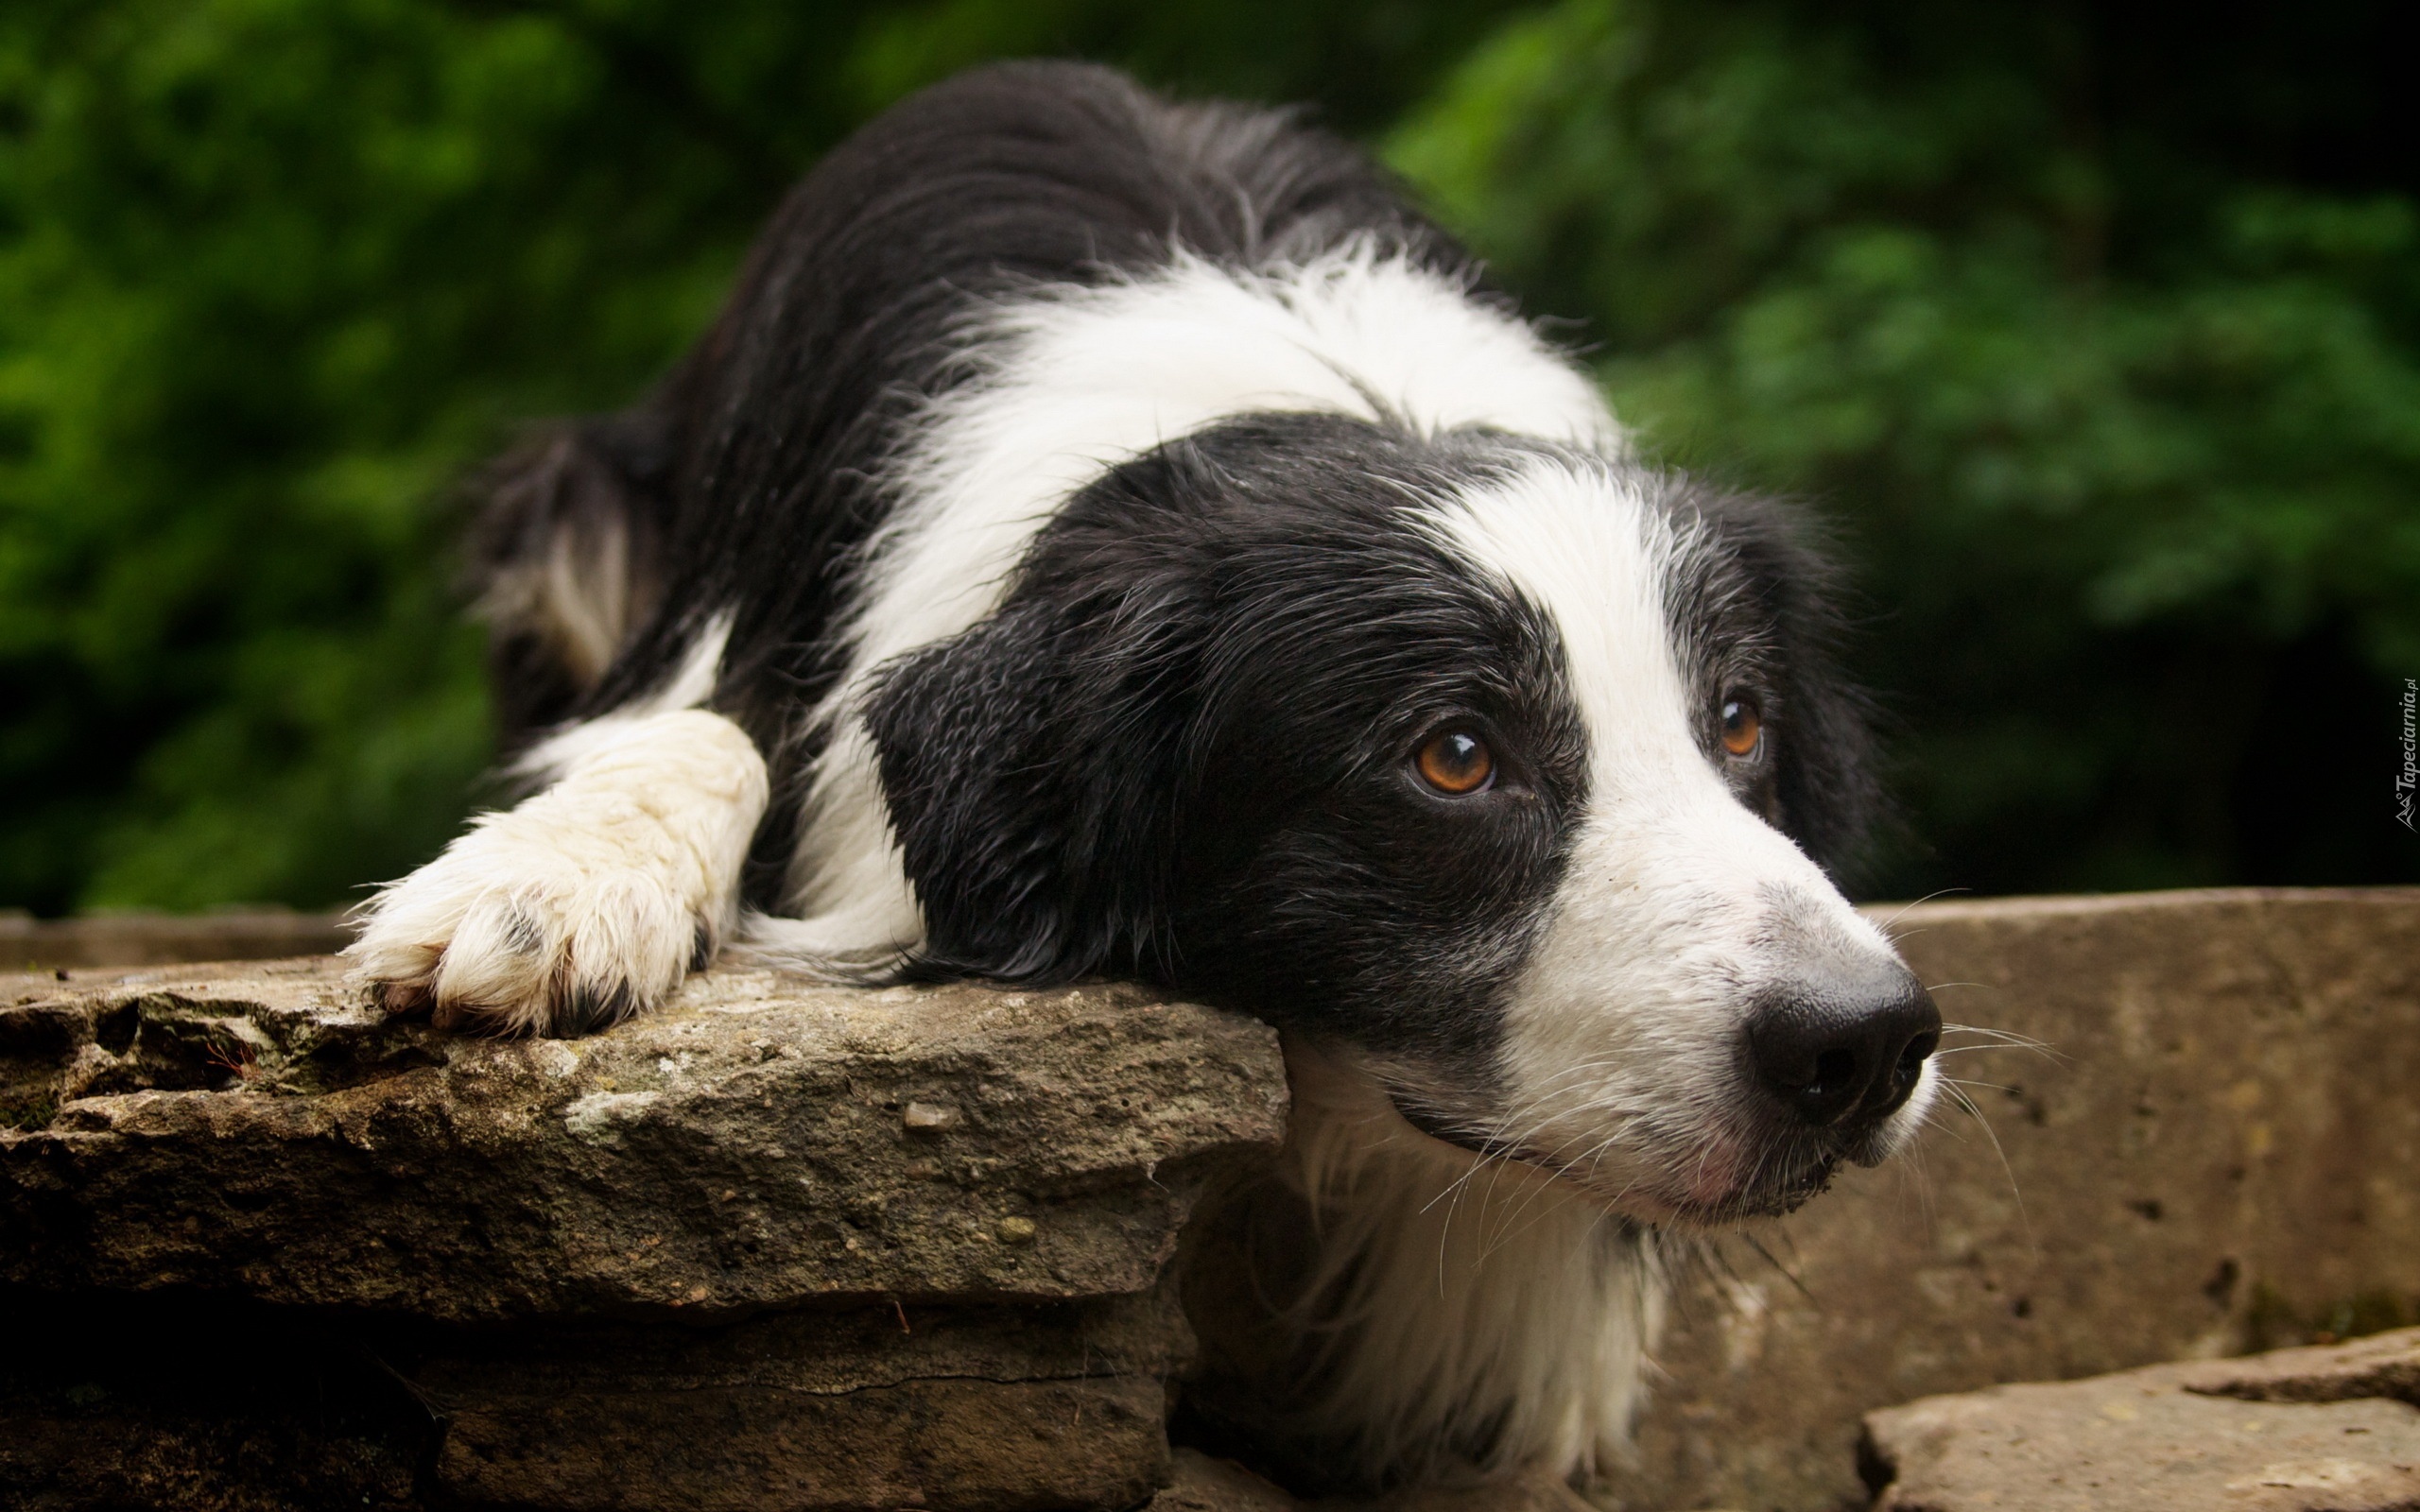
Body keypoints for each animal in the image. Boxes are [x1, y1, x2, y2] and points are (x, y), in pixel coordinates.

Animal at [351, 56, 1945, 1489]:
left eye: (1737, 724)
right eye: (1455, 756)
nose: (1866, 1044)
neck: (1323, 408)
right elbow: (701, 725)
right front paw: (546, 891)